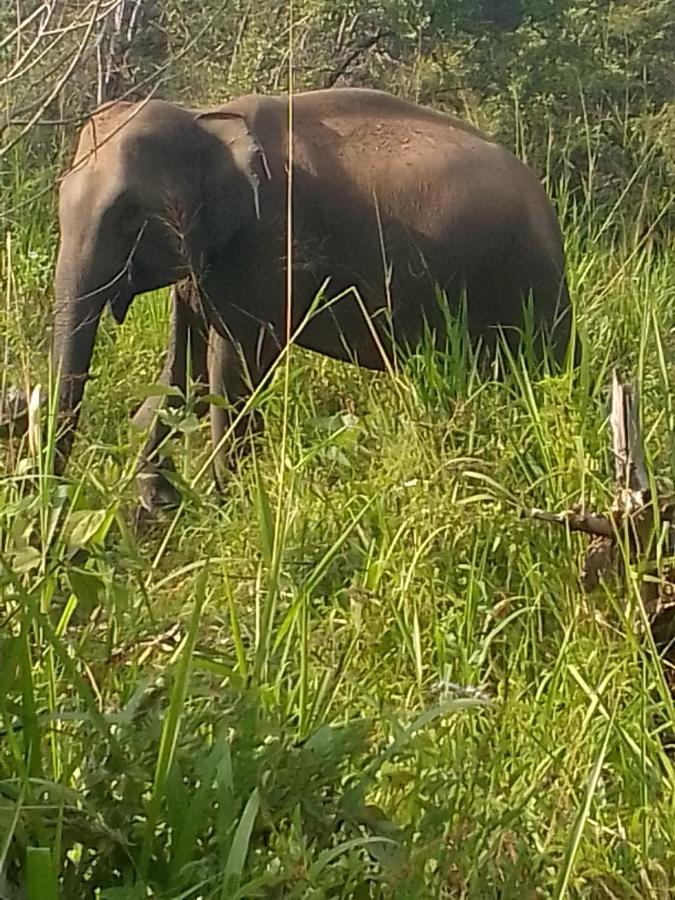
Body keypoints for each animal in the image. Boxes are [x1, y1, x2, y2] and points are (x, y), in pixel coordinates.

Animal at [50, 86, 572, 506]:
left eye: (130, 215)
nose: (56, 500)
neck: (206, 120)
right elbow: (182, 369)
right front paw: (158, 502)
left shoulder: (266, 249)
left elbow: (231, 371)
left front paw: (223, 505)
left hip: (529, 285)